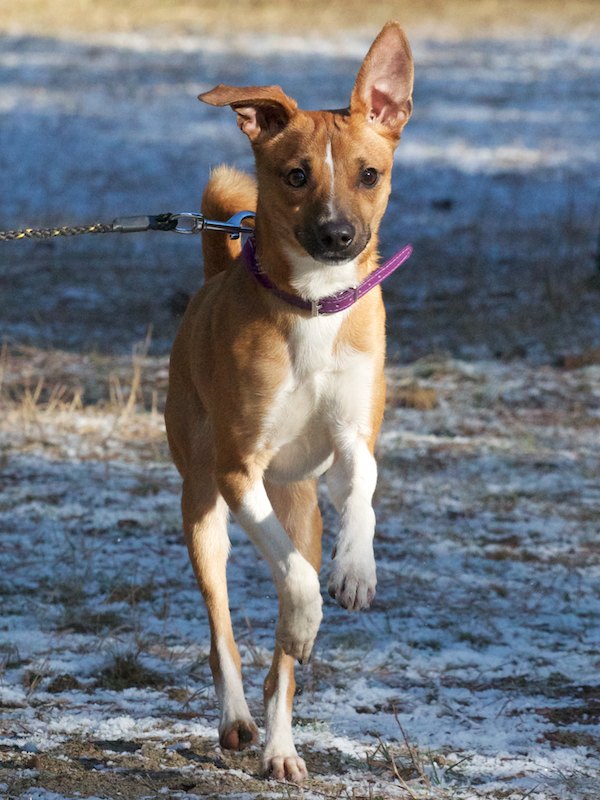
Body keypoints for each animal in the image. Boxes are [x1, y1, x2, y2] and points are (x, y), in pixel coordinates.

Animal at [165, 21, 414, 784]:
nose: (338, 236)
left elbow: (363, 486)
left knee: (283, 663)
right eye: (296, 175)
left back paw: (280, 747)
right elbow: (295, 580)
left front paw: (356, 570)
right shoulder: (238, 470)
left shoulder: (350, 440)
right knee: (227, 627)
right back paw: (238, 717)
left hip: (299, 505)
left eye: (369, 174)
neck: (312, 307)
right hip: (202, 506)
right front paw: (311, 610)